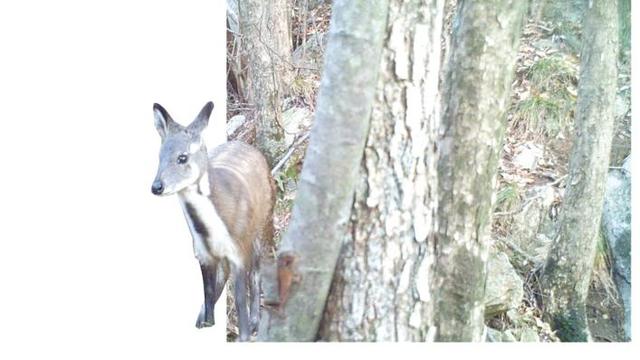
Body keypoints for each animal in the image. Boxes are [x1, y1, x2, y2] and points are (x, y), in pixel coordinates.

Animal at [151, 100, 274, 340]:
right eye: (159, 157)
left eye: (182, 157)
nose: (156, 187)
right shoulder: (203, 254)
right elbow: (208, 294)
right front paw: (205, 322)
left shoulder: (238, 251)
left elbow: (240, 300)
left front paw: (245, 334)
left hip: (264, 223)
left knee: (258, 270)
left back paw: (256, 320)